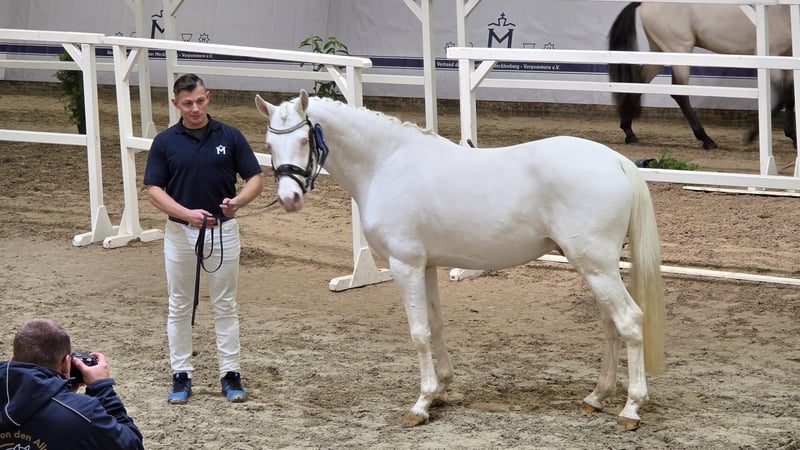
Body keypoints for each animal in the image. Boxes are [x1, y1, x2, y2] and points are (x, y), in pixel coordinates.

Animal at [254, 90, 666, 431]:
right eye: (269, 143)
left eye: (304, 139)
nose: (289, 198)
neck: (386, 163)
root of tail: (615, 161)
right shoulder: (426, 265)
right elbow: (435, 325)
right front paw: (441, 391)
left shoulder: (405, 264)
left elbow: (418, 332)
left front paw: (420, 404)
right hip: (594, 267)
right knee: (610, 326)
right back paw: (596, 397)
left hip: (595, 266)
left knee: (629, 322)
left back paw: (631, 409)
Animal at [609, 2, 796, 149]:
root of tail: (645, 3)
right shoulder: (771, 56)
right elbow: (783, 98)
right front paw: (751, 137)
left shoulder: (787, 59)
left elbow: (789, 98)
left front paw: (793, 137)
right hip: (679, 50)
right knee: (680, 94)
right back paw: (707, 140)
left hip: (659, 51)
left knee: (638, 83)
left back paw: (629, 132)